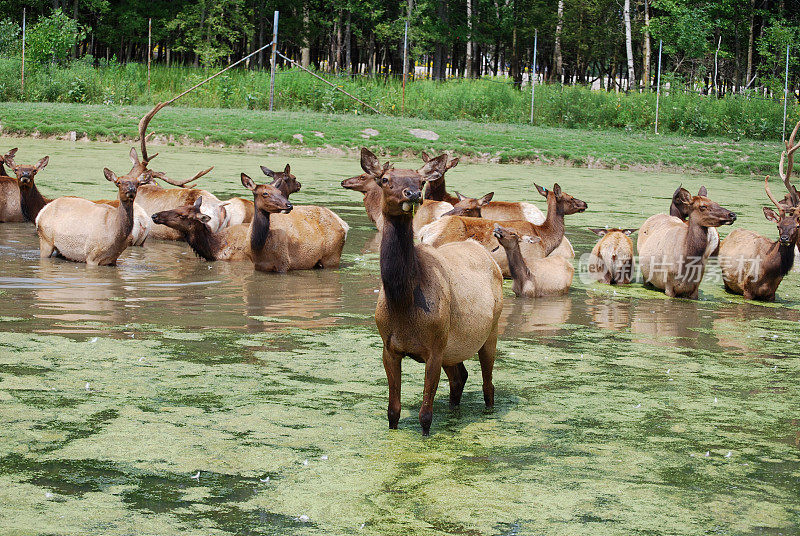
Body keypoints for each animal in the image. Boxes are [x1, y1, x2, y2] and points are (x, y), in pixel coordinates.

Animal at [153, 173, 346, 270]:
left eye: (182, 215)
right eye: (178, 208)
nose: (155, 215)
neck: (215, 248)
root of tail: (343, 223)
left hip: (331, 258)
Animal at [360, 147, 500, 436]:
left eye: (420, 180)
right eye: (385, 179)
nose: (412, 194)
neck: (403, 304)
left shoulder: (435, 348)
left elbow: (425, 415)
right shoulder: (389, 348)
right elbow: (393, 411)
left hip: (490, 332)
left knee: (488, 385)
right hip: (453, 348)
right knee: (460, 378)